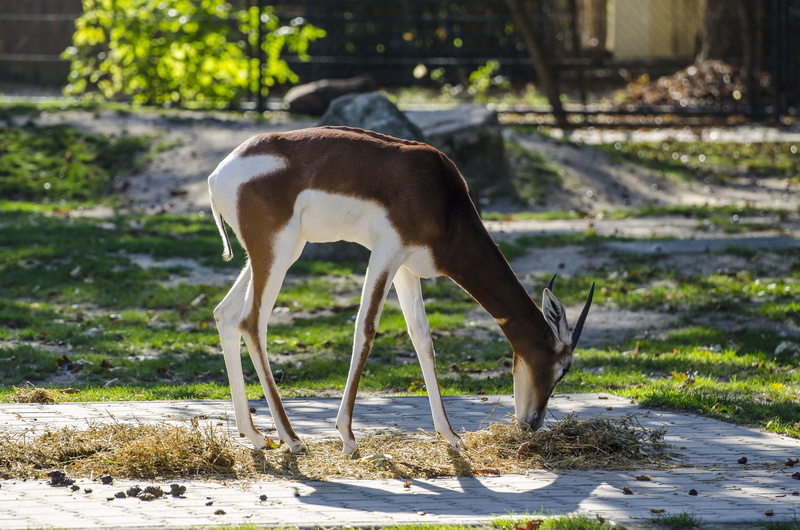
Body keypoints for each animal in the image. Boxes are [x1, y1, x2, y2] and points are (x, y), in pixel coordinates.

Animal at [208, 125, 594, 455]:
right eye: (564, 368)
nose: (532, 423)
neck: (443, 197)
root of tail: (218, 175)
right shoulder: (386, 251)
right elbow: (366, 329)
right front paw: (348, 438)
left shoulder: (407, 266)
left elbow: (422, 339)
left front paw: (450, 436)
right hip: (279, 251)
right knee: (251, 322)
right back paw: (291, 439)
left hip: (275, 254)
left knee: (225, 314)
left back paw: (256, 436)